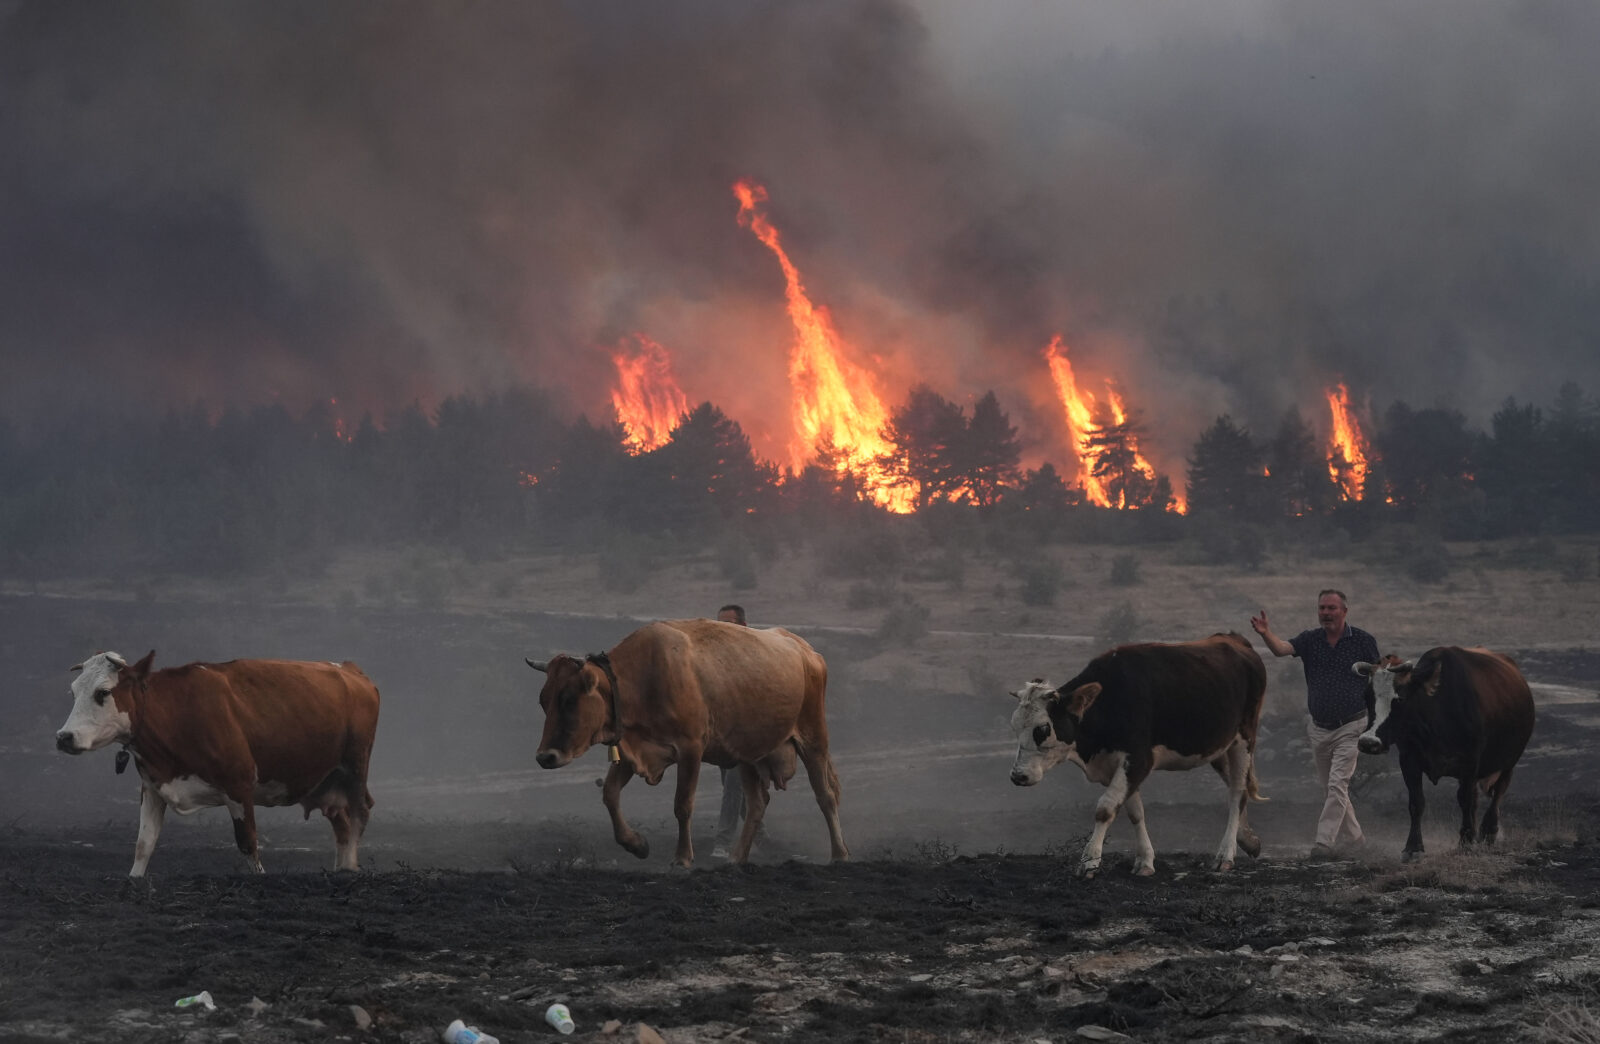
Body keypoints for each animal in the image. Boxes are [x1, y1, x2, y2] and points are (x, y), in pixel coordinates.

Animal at [55, 646, 380, 877]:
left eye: (102, 692)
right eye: (73, 692)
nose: (64, 737)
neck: (178, 714)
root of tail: (349, 670)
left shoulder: (239, 785)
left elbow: (248, 843)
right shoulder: (154, 787)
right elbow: (143, 845)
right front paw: (134, 880)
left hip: (355, 765)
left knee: (359, 812)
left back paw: (351, 870)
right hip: (326, 781)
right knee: (341, 821)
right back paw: (341, 868)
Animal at [528, 614, 857, 871]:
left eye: (569, 700)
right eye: (543, 701)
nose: (545, 757)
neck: (642, 679)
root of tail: (806, 650)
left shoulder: (690, 750)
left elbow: (682, 804)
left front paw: (683, 858)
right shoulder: (634, 751)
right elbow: (610, 794)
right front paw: (636, 844)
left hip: (814, 738)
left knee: (826, 795)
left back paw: (840, 854)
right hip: (748, 756)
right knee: (757, 804)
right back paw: (737, 857)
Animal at [1004, 630, 1267, 877]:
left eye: (1043, 729)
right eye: (1014, 727)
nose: (1018, 776)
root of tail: (1234, 639)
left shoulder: (1139, 760)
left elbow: (1105, 808)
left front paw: (1089, 861)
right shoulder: (1116, 765)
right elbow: (1135, 812)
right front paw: (1144, 860)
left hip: (1244, 738)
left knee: (1237, 793)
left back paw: (1225, 855)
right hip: (1218, 747)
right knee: (1236, 786)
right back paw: (1249, 840)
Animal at [1356, 646, 1529, 858]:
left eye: (1400, 699)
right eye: (1366, 697)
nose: (1368, 742)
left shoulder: (1470, 764)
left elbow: (1465, 800)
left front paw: (1466, 841)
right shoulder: (1409, 761)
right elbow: (1416, 802)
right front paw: (1413, 847)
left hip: (1508, 763)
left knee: (1498, 794)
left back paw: (1488, 831)